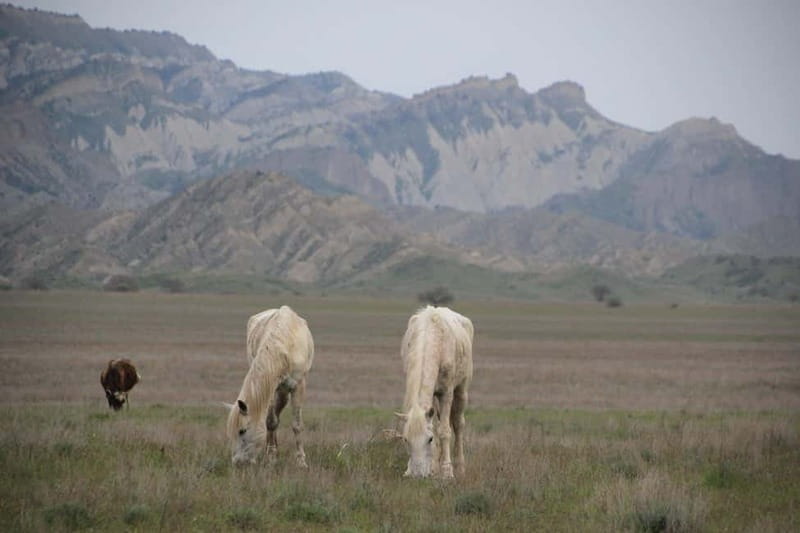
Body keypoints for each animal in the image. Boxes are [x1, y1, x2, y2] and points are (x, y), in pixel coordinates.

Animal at [225, 305, 314, 467]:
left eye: (242, 431)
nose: (237, 462)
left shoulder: (298, 386)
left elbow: (297, 425)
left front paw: (301, 461)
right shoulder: (270, 388)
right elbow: (271, 422)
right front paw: (271, 457)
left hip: (284, 392)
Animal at [396, 305, 473, 478]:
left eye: (429, 439)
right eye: (405, 439)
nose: (417, 475)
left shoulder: (446, 393)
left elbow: (444, 431)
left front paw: (447, 471)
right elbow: (437, 428)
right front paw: (433, 468)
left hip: (462, 389)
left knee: (458, 424)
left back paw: (460, 467)